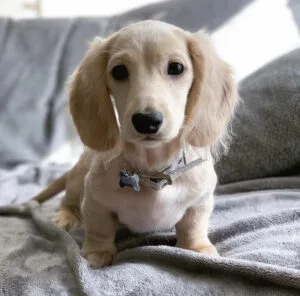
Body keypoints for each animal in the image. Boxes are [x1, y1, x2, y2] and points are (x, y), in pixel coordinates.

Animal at [32, 20, 238, 268]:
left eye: (176, 68)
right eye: (119, 71)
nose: (146, 120)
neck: (152, 171)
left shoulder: (201, 200)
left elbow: (194, 225)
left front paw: (197, 248)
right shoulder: (94, 201)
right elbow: (98, 228)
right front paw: (97, 252)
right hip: (76, 179)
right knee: (68, 200)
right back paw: (66, 216)